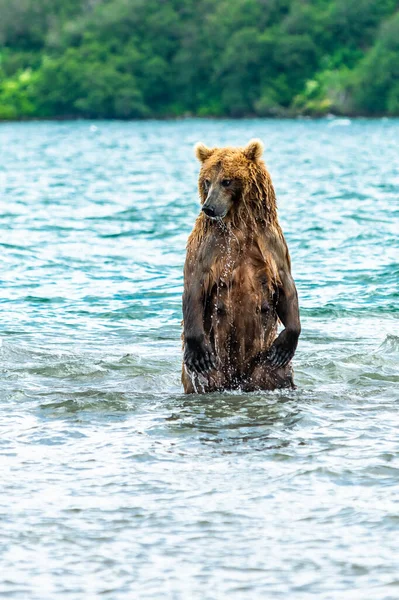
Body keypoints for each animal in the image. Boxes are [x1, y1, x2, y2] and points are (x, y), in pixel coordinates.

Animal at [181, 139, 300, 396]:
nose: (209, 208)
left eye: (227, 180)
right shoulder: (208, 244)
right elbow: (195, 282)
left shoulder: (271, 242)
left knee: (276, 372)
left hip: (263, 360)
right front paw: (197, 351)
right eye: (207, 180)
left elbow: (285, 283)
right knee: (206, 377)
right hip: (215, 359)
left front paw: (287, 342)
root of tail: (237, 380)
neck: (238, 222)